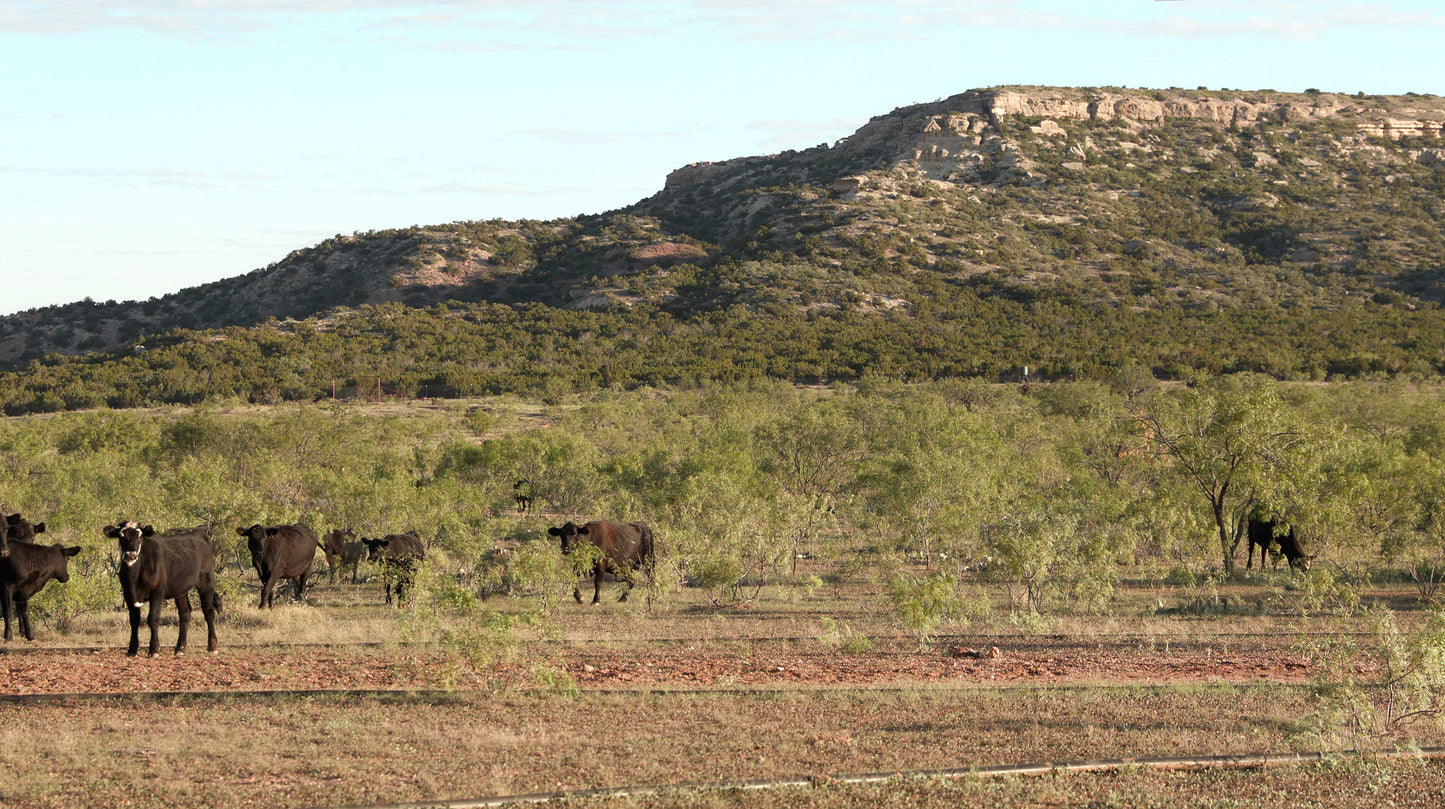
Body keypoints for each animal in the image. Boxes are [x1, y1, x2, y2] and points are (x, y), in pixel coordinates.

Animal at [106, 517, 219, 658]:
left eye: (139, 537)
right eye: (121, 537)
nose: (130, 555)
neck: (135, 575)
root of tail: (199, 532)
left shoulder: (158, 592)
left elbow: (153, 618)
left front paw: (154, 650)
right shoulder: (128, 594)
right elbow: (134, 620)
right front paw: (132, 649)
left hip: (206, 582)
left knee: (208, 611)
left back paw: (212, 646)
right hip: (180, 590)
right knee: (185, 613)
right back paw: (180, 648)